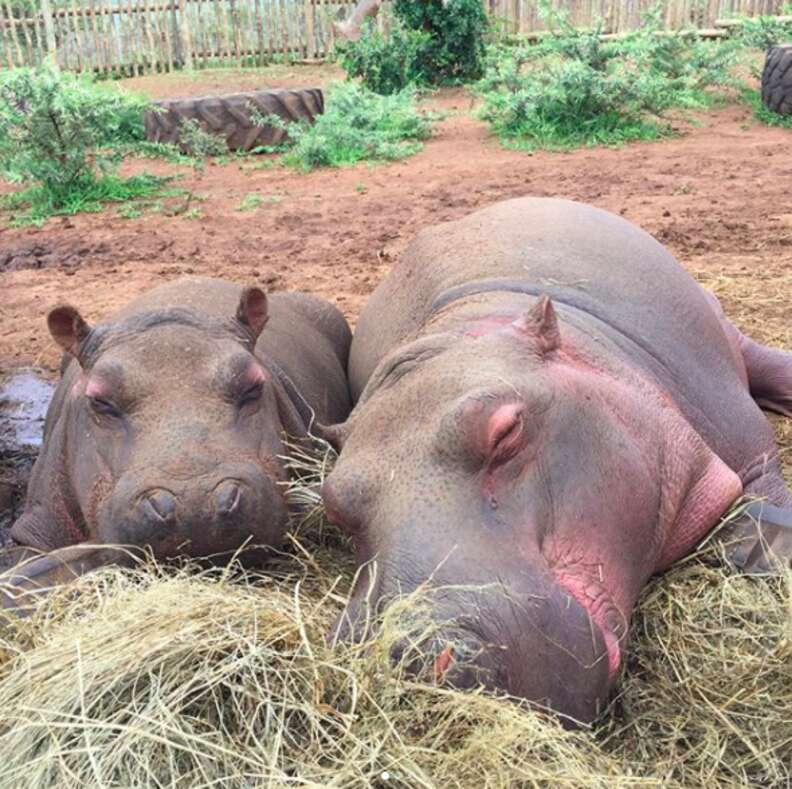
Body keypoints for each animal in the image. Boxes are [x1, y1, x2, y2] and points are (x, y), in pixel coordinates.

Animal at [322, 199, 792, 728]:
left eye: (506, 429)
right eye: (334, 504)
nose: (414, 658)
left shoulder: (742, 438)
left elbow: (760, 488)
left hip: (716, 323)